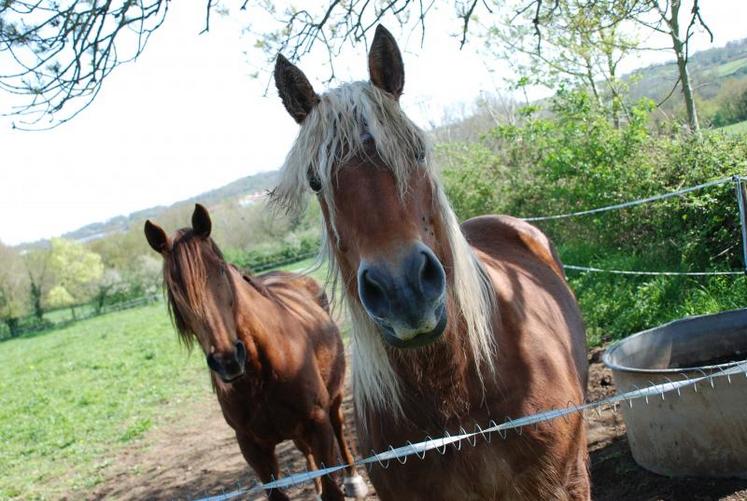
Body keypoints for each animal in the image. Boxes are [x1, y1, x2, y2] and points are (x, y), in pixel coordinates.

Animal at [143, 204, 368, 501]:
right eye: (176, 288)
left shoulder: (317, 424)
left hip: (333, 400)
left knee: (340, 428)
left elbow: (332, 487)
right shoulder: (252, 447)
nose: (227, 360)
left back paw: (354, 480)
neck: (260, 371)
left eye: (221, 271)